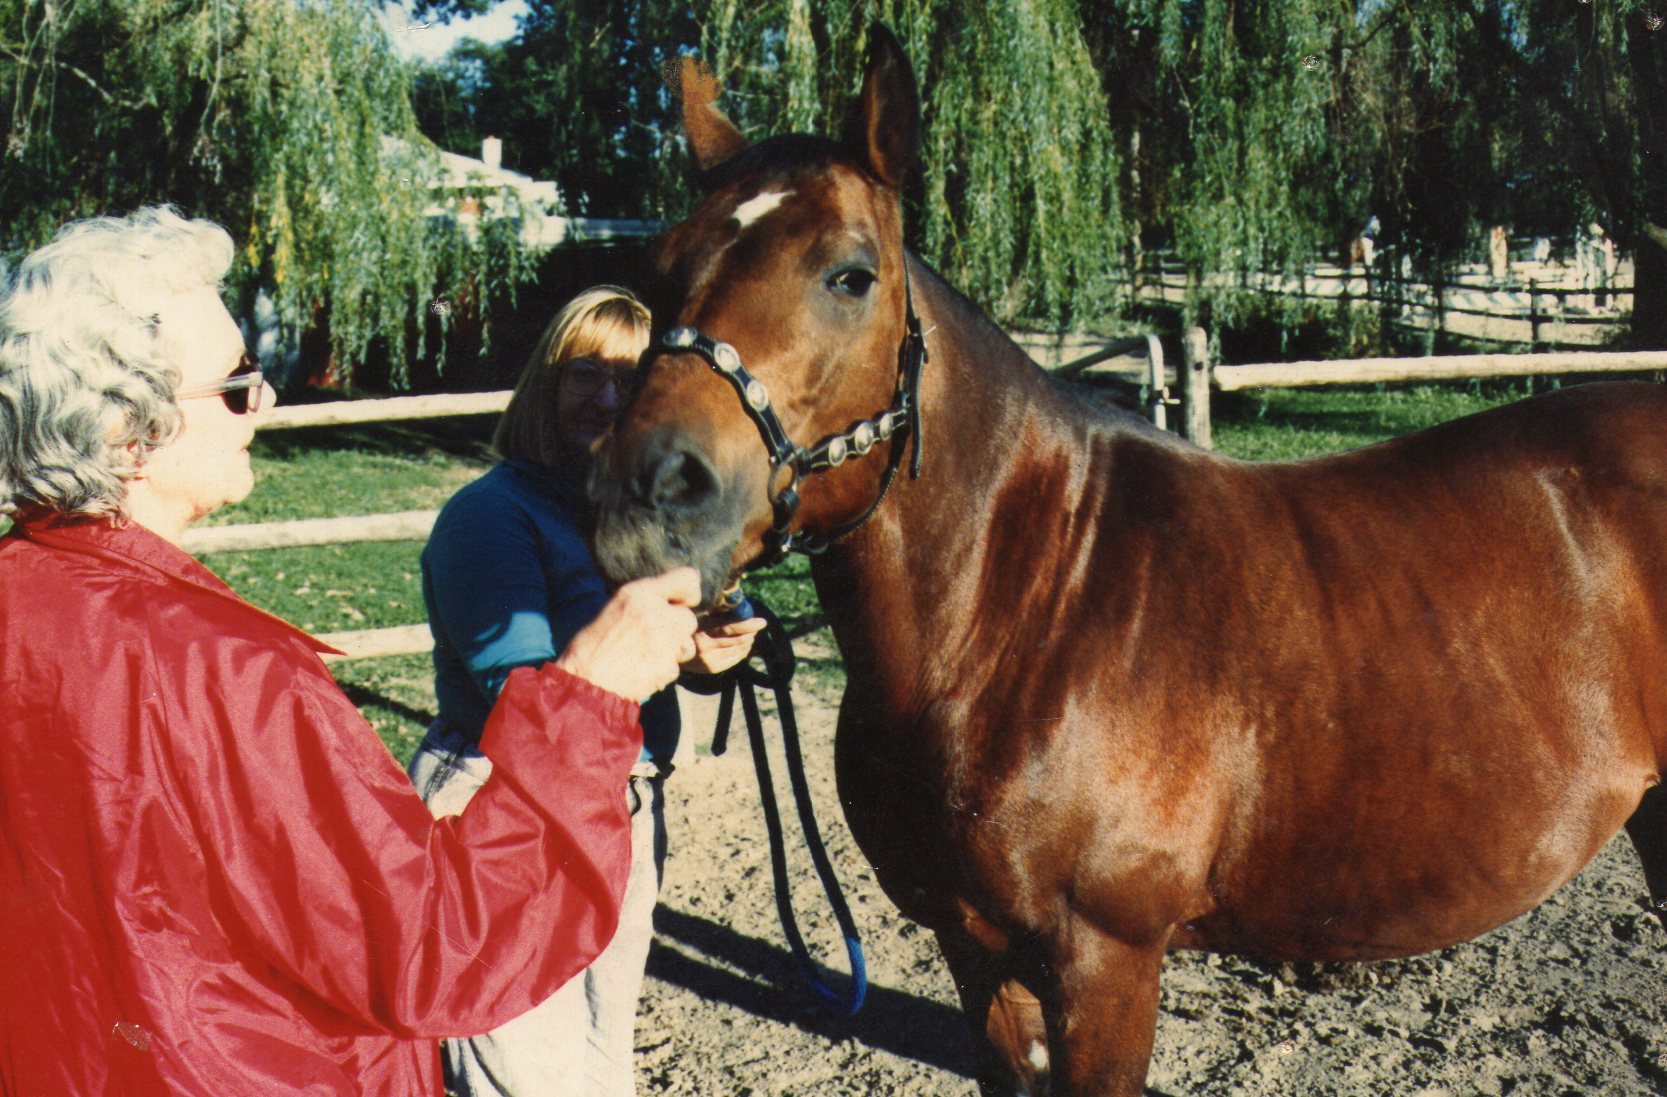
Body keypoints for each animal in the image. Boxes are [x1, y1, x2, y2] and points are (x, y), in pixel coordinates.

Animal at [593, 25, 1667, 1093]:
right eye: (661, 265)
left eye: (849, 274)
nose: (649, 491)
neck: (1019, 613)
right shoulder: (976, 953)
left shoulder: (1104, 961)